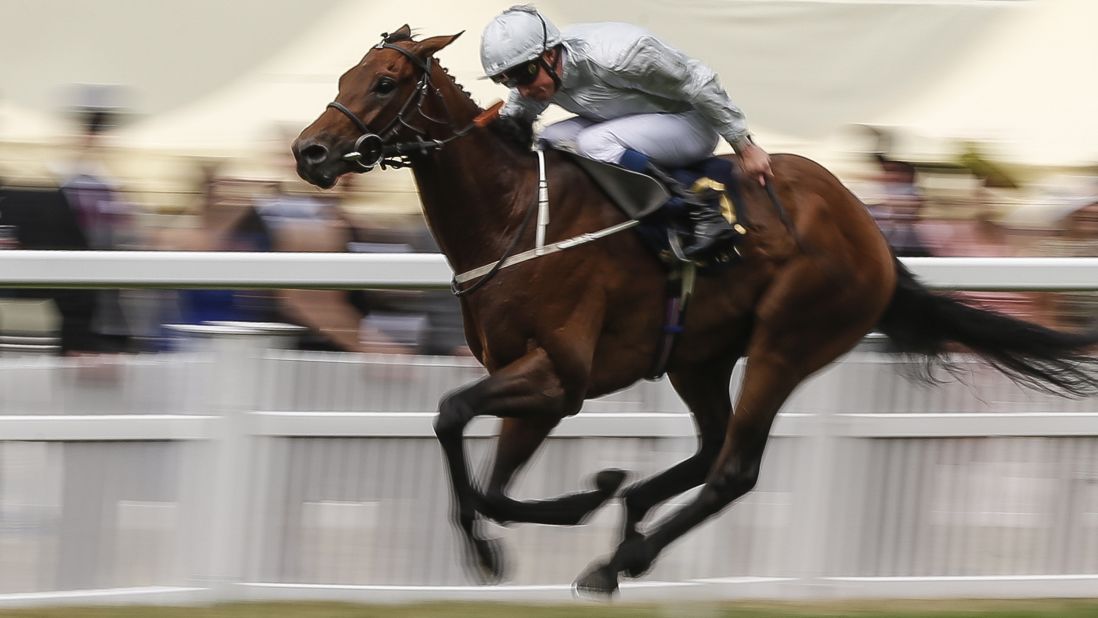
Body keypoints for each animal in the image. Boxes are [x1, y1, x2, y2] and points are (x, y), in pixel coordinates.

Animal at [292, 26, 1098, 597]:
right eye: (342, 77)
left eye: (386, 81)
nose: (309, 152)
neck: (515, 215)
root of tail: (873, 235)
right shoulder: (538, 385)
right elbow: (490, 481)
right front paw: (570, 505)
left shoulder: (560, 377)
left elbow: (453, 415)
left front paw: (538, 527)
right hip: (699, 356)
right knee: (711, 447)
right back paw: (629, 515)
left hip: (787, 342)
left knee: (735, 468)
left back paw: (622, 557)